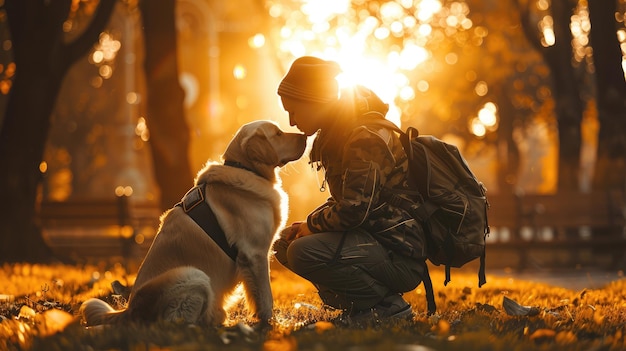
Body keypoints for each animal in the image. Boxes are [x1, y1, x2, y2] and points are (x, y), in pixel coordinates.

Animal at [79, 120, 306, 328]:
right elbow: (265, 296)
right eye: (278, 133)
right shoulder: (254, 253)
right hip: (193, 275)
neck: (246, 169)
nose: (305, 136)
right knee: (175, 323)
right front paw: (271, 323)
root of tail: (130, 309)